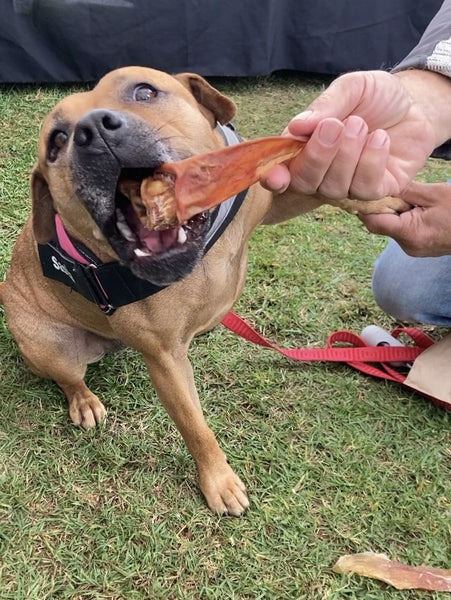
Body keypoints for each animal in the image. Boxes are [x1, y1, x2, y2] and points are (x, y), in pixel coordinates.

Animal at [0, 67, 408, 516]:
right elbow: (196, 427)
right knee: (69, 380)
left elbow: (325, 188)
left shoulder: (267, 194)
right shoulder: (166, 361)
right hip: (53, 348)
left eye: (144, 91)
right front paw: (219, 481)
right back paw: (85, 401)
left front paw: (382, 201)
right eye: (57, 141)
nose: (93, 130)